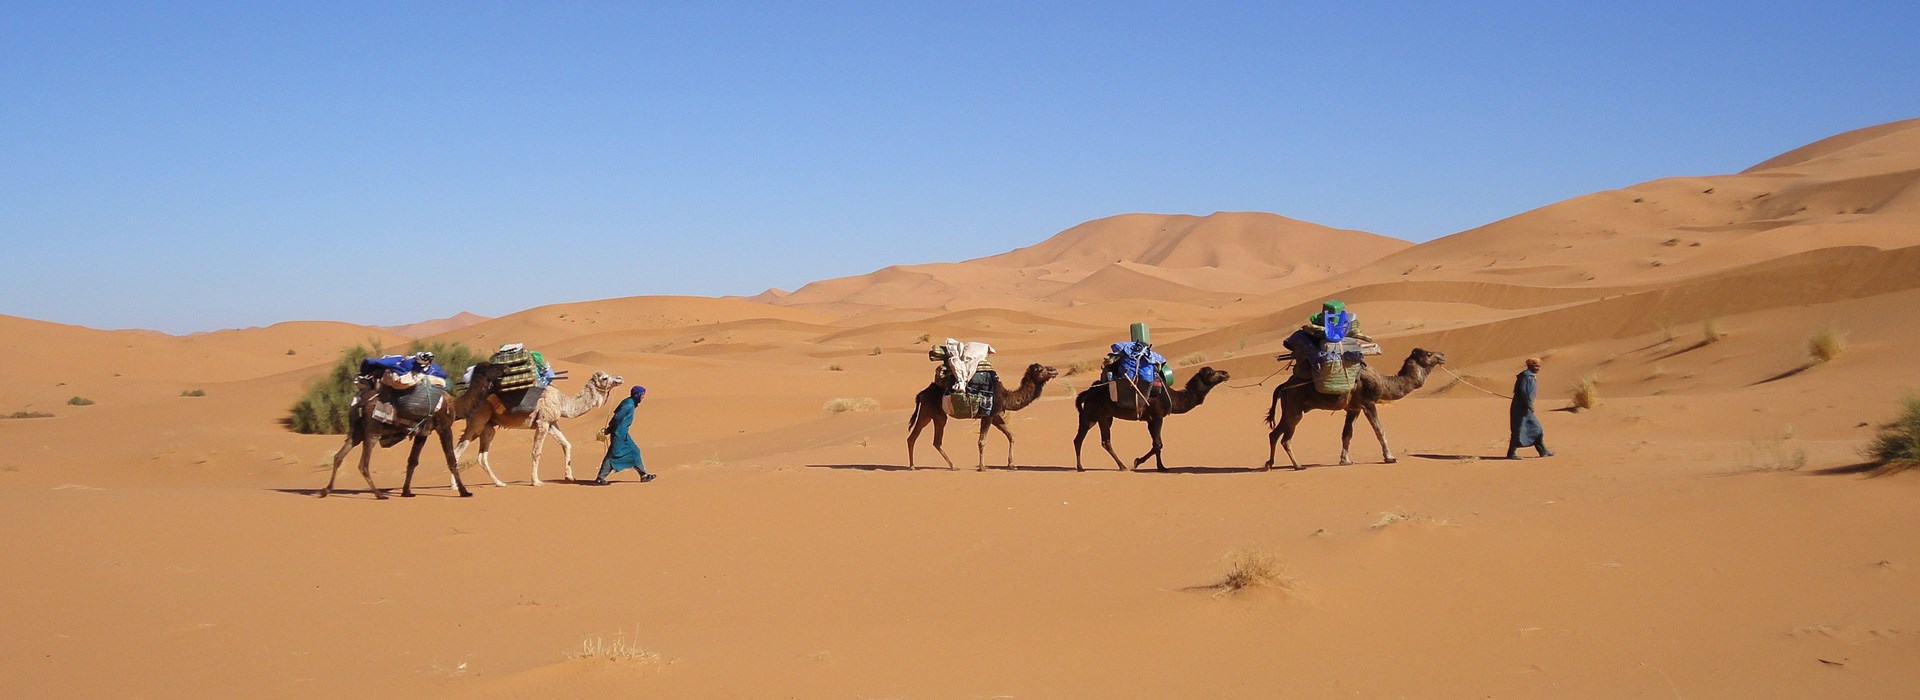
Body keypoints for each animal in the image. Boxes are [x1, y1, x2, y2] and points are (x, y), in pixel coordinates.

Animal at [314, 366, 499, 494]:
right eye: (491, 367)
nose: (503, 369)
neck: (455, 404)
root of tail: (358, 402)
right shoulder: (443, 427)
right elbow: (451, 459)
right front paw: (464, 491)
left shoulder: (423, 432)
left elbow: (412, 461)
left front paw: (406, 491)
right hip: (372, 432)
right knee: (363, 464)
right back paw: (378, 494)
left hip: (356, 432)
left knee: (339, 456)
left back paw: (326, 490)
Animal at [455, 366, 622, 485]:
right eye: (604, 377)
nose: (620, 378)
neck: (562, 402)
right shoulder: (543, 422)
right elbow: (536, 452)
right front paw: (535, 481)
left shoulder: (552, 422)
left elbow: (566, 444)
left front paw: (569, 476)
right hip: (477, 420)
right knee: (458, 449)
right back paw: (456, 487)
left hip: (488, 427)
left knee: (481, 457)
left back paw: (499, 483)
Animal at [902, 360, 1059, 469]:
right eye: (1040, 369)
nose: (1054, 370)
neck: (1005, 397)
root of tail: (922, 393)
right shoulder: (988, 415)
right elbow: (982, 441)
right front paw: (982, 467)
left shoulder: (995, 415)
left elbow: (1011, 435)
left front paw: (1011, 465)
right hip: (932, 413)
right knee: (923, 438)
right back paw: (919, 466)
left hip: (932, 415)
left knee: (923, 439)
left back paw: (944, 466)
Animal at [1075, 362, 1236, 471]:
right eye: (1210, 373)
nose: (1225, 373)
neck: (1173, 397)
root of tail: (1088, 392)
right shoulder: (1158, 417)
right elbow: (1158, 444)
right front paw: (1152, 465)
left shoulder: (1150, 420)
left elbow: (1157, 444)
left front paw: (1153, 465)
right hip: (1099, 415)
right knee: (1102, 441)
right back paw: (1119, 466)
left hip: (1096, 417)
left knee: (1080, 439)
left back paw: (1082, 467)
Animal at [1259, 345, 1443, 469]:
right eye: (1428, 353)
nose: (1443, 355)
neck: (1384, 383)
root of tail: (1283, 386)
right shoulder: (1368, 403)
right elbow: (1380, 430)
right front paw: (1390, 458)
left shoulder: (1354, 408)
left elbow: (1347, 434)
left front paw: (1345, 460)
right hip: (1294, 407)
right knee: (1285, 438)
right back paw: (1298, 466)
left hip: (1290, 408)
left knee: (1274, 434)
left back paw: (1269, 464)